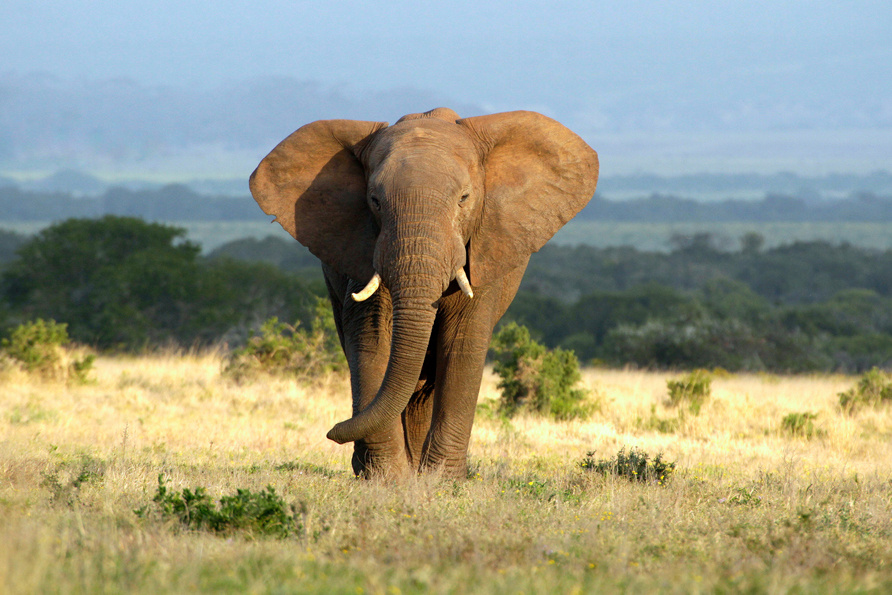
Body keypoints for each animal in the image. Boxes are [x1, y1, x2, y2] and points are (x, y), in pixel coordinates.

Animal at [250, 107, 598, 479]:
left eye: (464, 199)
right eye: (374, 201)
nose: (332, 431)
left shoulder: (485, 247)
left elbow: (462, 343)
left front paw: (440, 481)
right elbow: (371, 338)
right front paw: (388, 479)